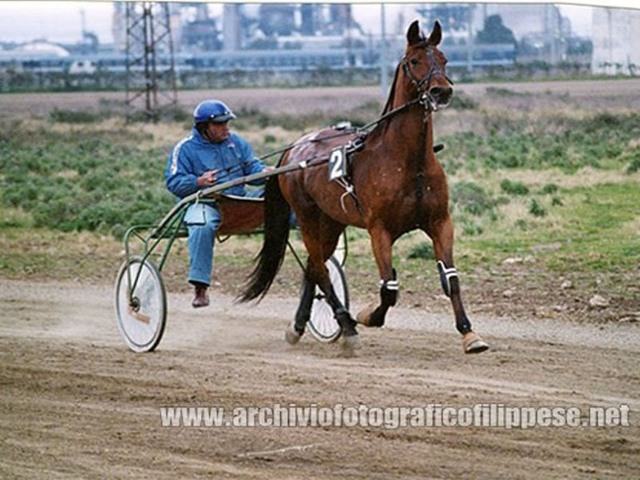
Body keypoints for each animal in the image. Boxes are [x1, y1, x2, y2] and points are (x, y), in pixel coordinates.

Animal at [241, 20, 490, 354]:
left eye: (444, 58)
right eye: (415, 61)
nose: (441, 91)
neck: (408, 162)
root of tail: (294, 148)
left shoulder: (439, 222)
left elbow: (450, 278)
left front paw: (469, 333)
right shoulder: (379, 230)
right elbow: (389, 288)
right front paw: (367, 316)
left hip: (331, 222)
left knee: (314, 266)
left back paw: (298, 327)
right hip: (307, 217)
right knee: (321, 269)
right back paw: (347, 327)